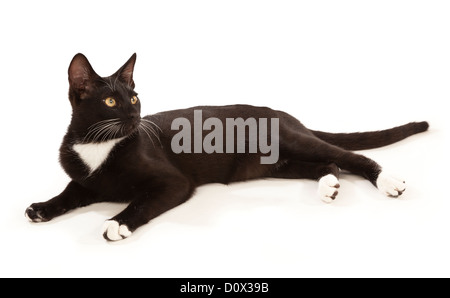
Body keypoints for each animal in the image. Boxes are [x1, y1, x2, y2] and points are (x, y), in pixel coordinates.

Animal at [25, 53, 428, 240]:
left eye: (135, 98)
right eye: (111, 102)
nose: (137, 116)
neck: (99, 144)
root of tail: (286, 115)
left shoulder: (173, 183)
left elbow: (141, 201)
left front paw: (117, 222)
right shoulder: (86, 180)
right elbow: (69, 192)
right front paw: (42, 208)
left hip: (292, 140)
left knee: (349, 157)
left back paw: (389, 181)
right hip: (279, 163)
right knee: (328, 165)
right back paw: (329, 186)